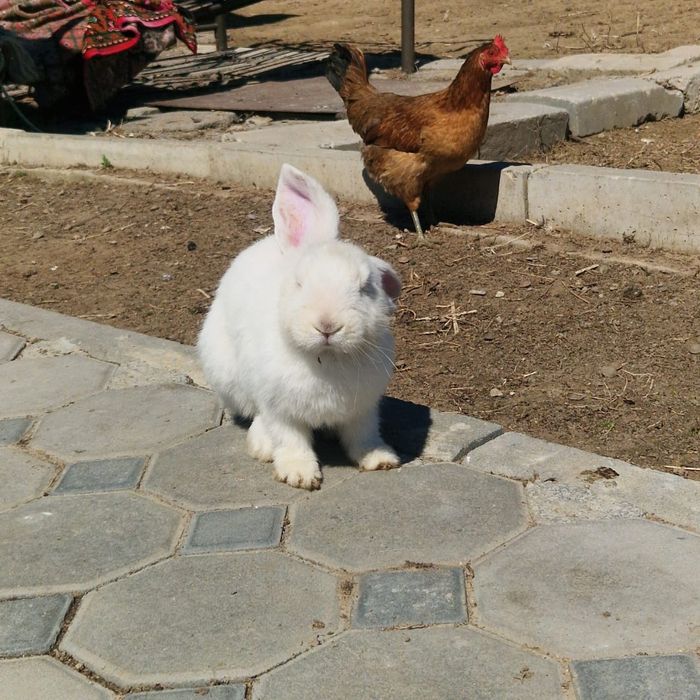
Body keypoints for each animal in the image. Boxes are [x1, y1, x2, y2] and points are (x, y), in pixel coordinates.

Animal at [198, 163, 402, 490]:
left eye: (365, 288)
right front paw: (300, 475)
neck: (326, 359)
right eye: (299, 283)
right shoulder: (281, 411)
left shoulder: (363, 409)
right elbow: (291, 440)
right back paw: (261, 445)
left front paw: (379, 459)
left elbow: (363, 435)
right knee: (254, 414)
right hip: (230, 376)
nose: (327, 325)